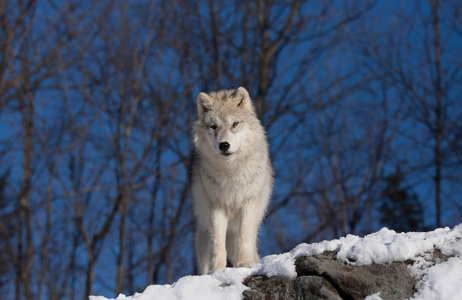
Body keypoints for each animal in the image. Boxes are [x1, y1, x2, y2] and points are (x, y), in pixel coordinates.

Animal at [189, 86, 272, 274]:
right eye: (213, 126)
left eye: (235, 124)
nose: (224, 145)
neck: (231, 172)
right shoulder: (216, 206)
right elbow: (218, 243)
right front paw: (216, 270)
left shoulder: (249, 202)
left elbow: (244, 237)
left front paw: (245, 263)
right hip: (202, 235)